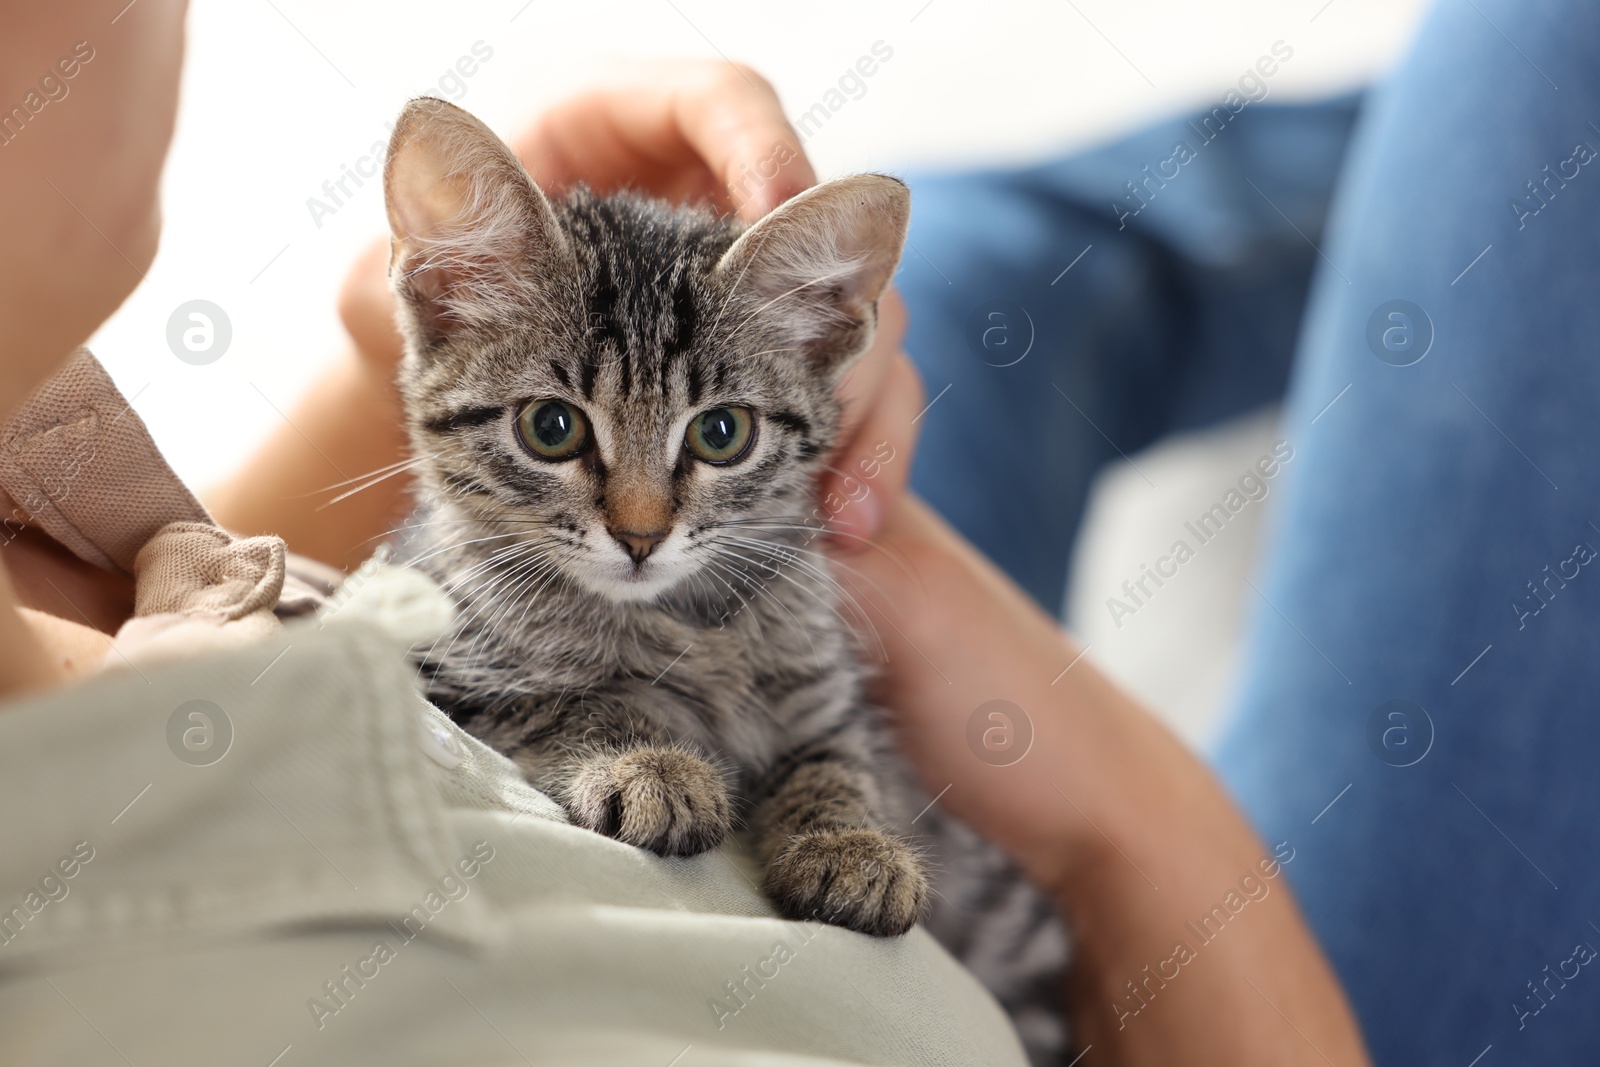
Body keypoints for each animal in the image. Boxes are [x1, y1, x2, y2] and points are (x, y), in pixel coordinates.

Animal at [382, 97, 1068, 1062]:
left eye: (721, 434)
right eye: (551, 426)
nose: (639, 535)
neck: (680, 619)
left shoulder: (826, 688)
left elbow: (838, 760)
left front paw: (851, 844)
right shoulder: (429, 655)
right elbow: (563, 698)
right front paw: (650, 763)